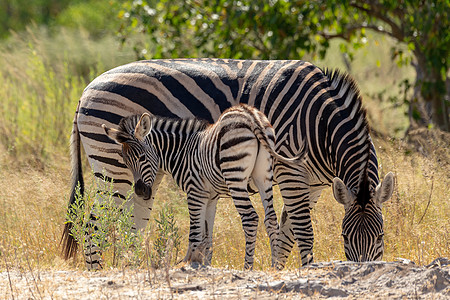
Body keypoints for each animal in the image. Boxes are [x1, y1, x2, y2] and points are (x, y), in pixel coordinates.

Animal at [103, 104, 306, 268]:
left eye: (142, 157)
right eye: (126, 161)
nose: (140, 191)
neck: (181, 152)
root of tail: (250, 116)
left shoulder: (195, 192)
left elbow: (195, 232)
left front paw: (189, 262)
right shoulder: (211, 197)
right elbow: (207, 233)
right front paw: (204, 263)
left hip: (235, 176)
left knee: (250, 218)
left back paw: (247, 267)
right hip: (263, 175)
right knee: (270, 219)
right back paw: (275, 266)